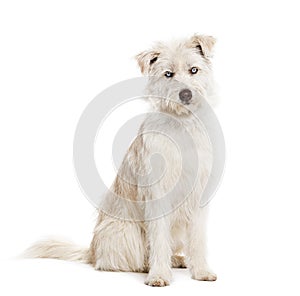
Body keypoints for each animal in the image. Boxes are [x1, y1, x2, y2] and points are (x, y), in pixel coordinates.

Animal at [25, 34, 218, 286]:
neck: (181, 124)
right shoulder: (157, 196)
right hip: (123, 232)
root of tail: (92, 249)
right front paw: (158, 275)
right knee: (119, 260)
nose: (185, 94)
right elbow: (158, 238)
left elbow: (198, 239)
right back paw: (151, 266)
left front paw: (202, 271)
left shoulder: (198, 197)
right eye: (168, 74)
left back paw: (176, 259)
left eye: (193, 70)